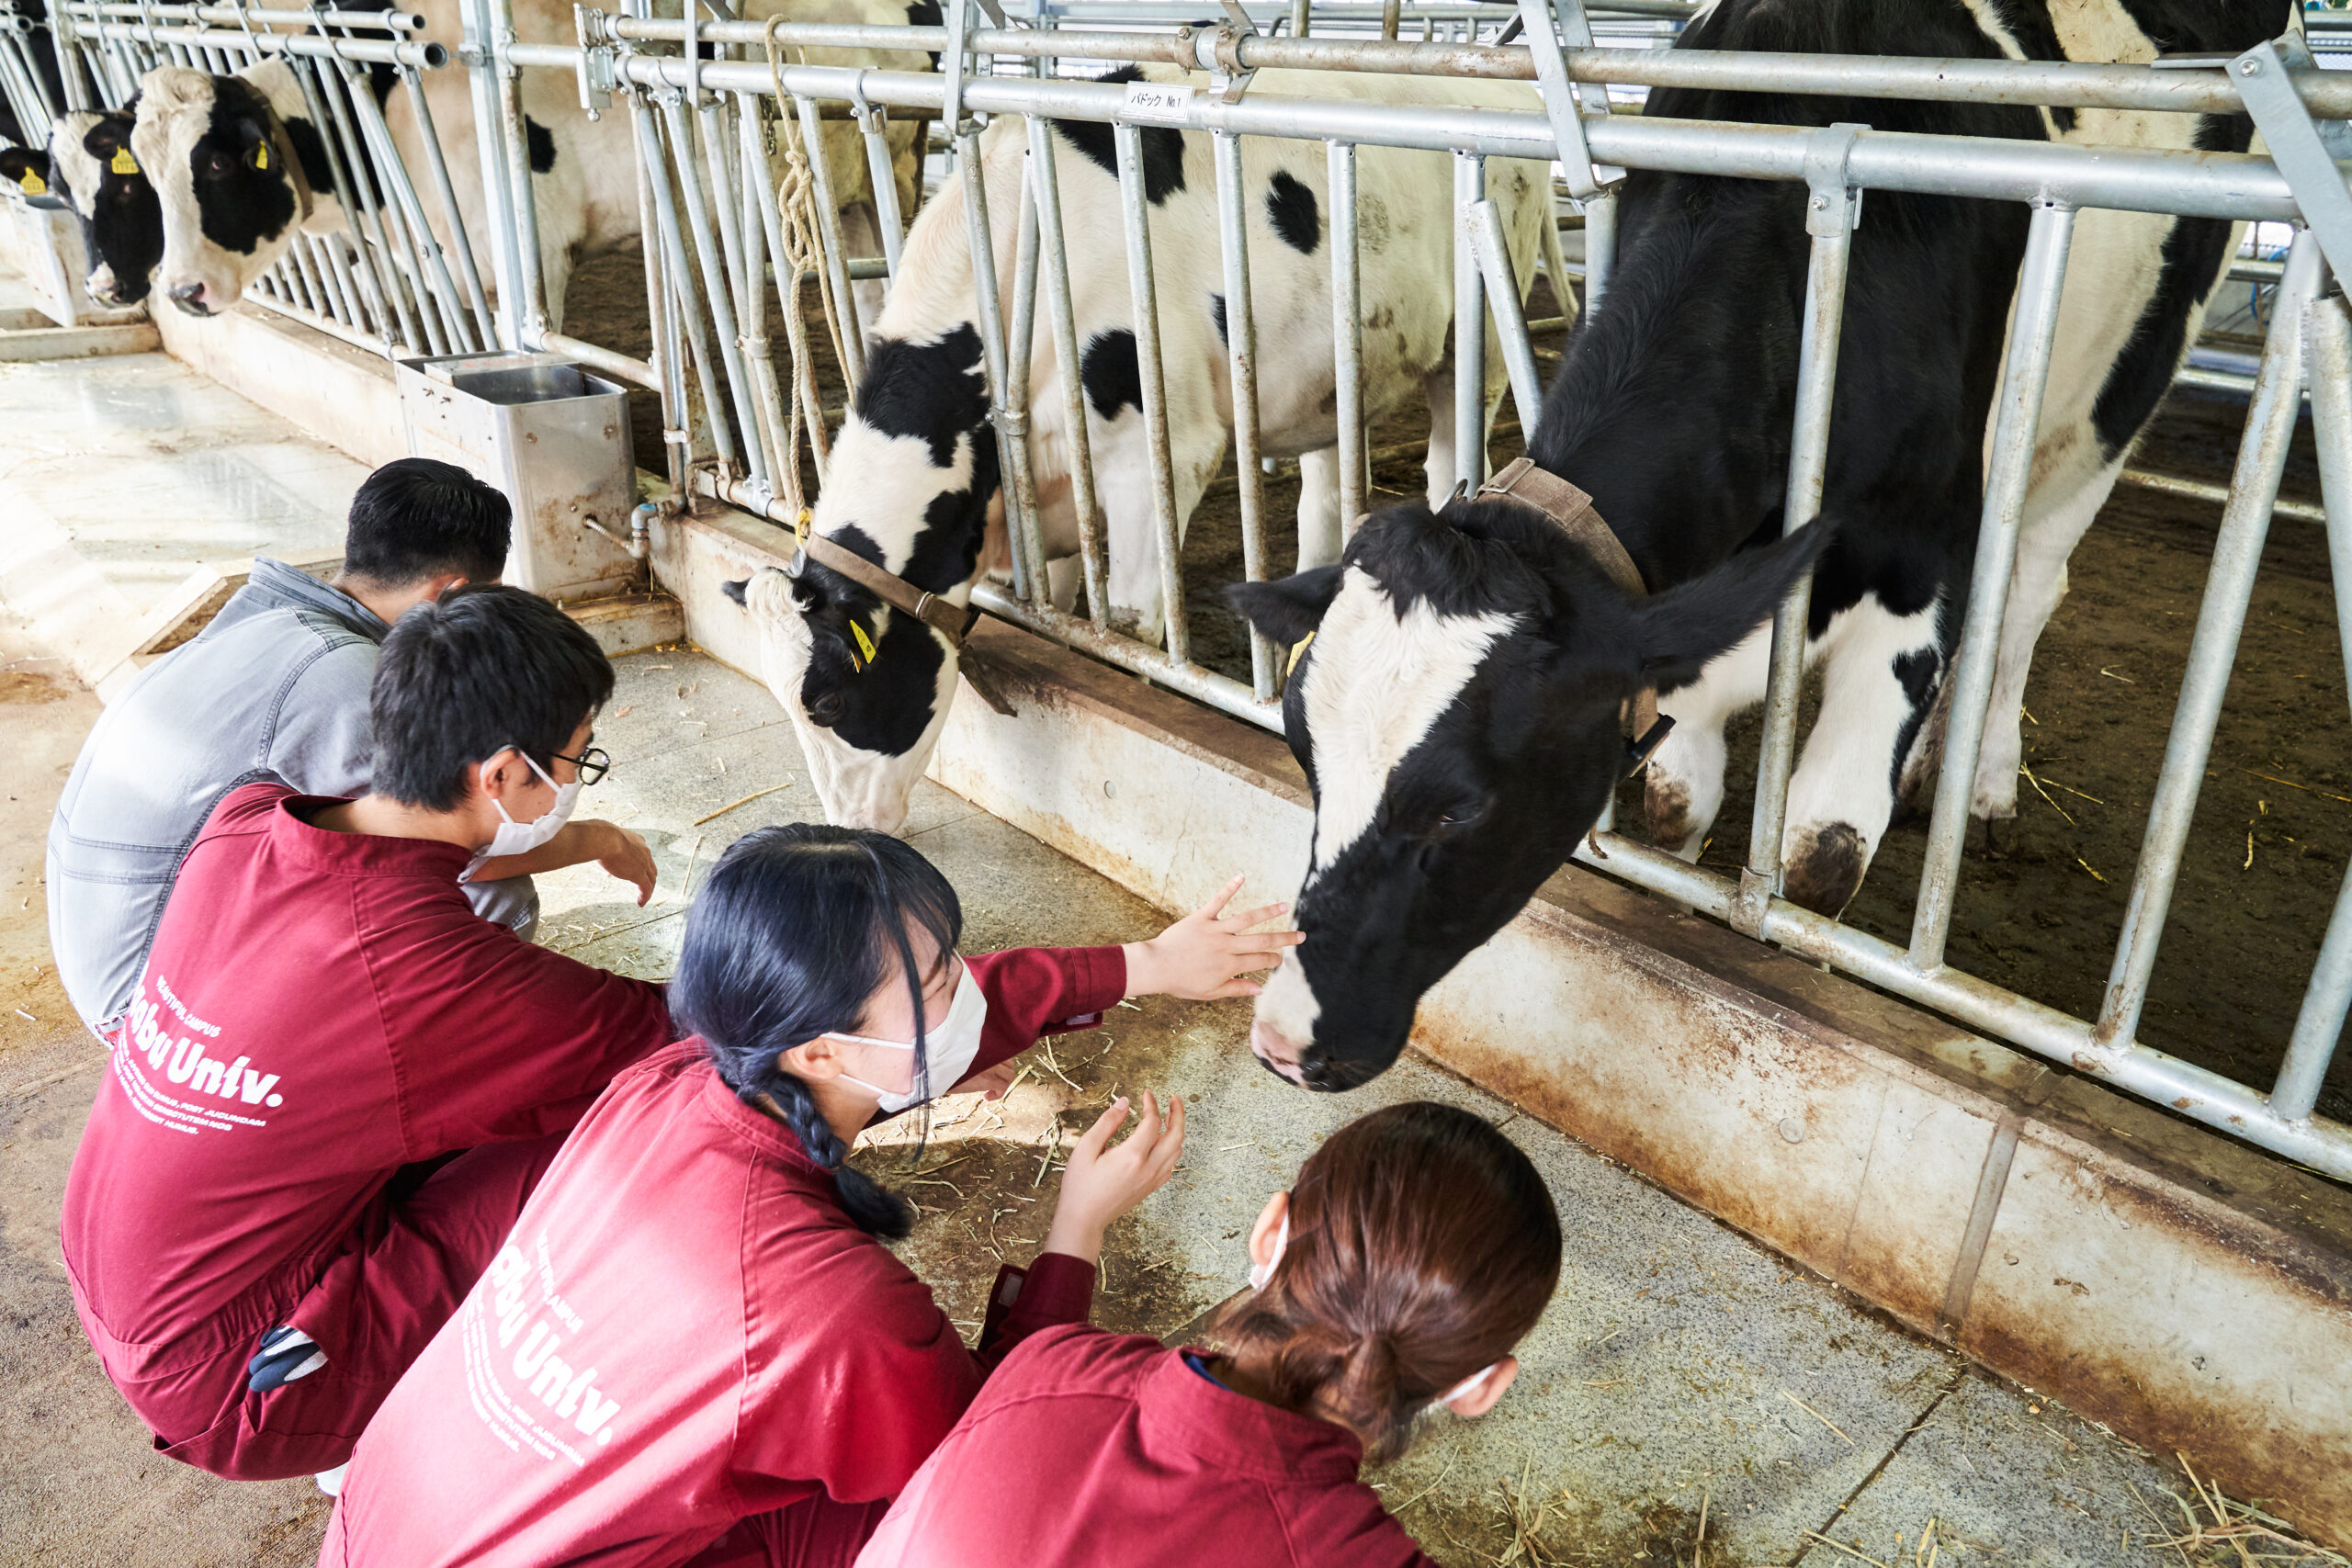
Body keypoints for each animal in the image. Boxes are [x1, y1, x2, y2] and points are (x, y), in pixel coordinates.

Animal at [728, 64, 1568, 833]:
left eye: (828, 699)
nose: (846, 827)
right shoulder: (1048, 484)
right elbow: (1061, 601)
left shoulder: (1160, 455)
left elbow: (1131, 623)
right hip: (1336, 372)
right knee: (1326, 498)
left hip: (1477, 346)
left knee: (1447, 464)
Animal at [1227, 0, 2294, 1090]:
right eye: (1303, 752)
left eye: (1459, 809)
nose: (1280, 1037)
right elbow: (1671, 803)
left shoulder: (1915, 570)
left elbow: (1823, 850)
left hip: (2106, 411)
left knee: (2031, 589)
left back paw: (1987, 785)